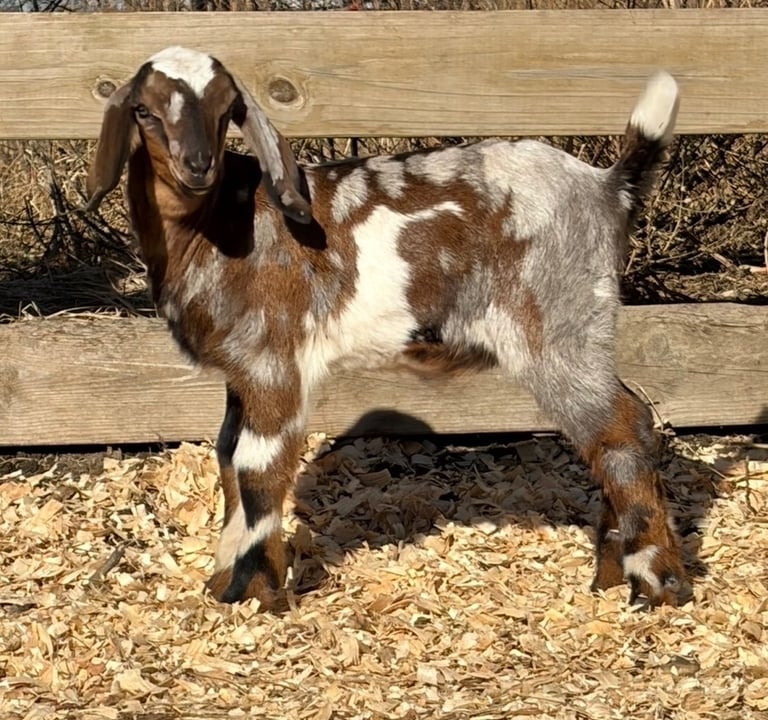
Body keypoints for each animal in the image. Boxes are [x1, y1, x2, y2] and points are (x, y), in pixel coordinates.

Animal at [86, 46, 689, 609]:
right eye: (143, 109)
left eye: (225, 108)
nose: (198, 166)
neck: (216, 226)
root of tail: (608, 187)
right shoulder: (240, 368)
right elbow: (227, 455)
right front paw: (220, 581)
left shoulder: (272, 358)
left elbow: (258, 467)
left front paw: (255, 591)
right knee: (618, 426)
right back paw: (612, 572)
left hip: (558, 324)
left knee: (622, 427)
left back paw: (657, 582)